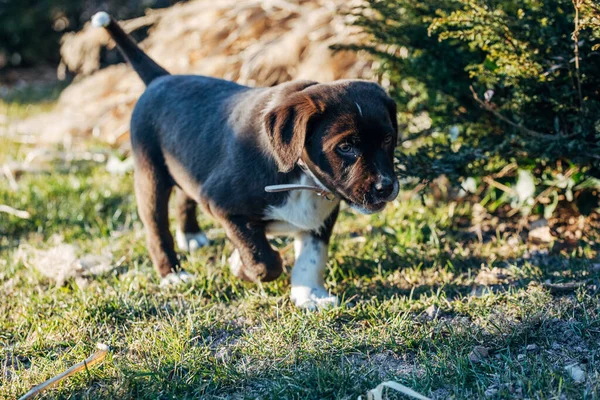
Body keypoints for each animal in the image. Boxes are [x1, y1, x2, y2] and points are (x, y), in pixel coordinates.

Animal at [91, 10, 398, 310]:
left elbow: (312, 256)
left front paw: (309, 294)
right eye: (345, 147)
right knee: (156, 229)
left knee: (185, 196)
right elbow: (263, 259)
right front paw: (240, 265)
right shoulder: (224, 206)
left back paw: (190, 235)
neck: (300, 175)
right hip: (150, 174)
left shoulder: (320, 217)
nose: (386, 187)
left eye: (387, 139)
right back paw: (173, 274)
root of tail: (160, 79)